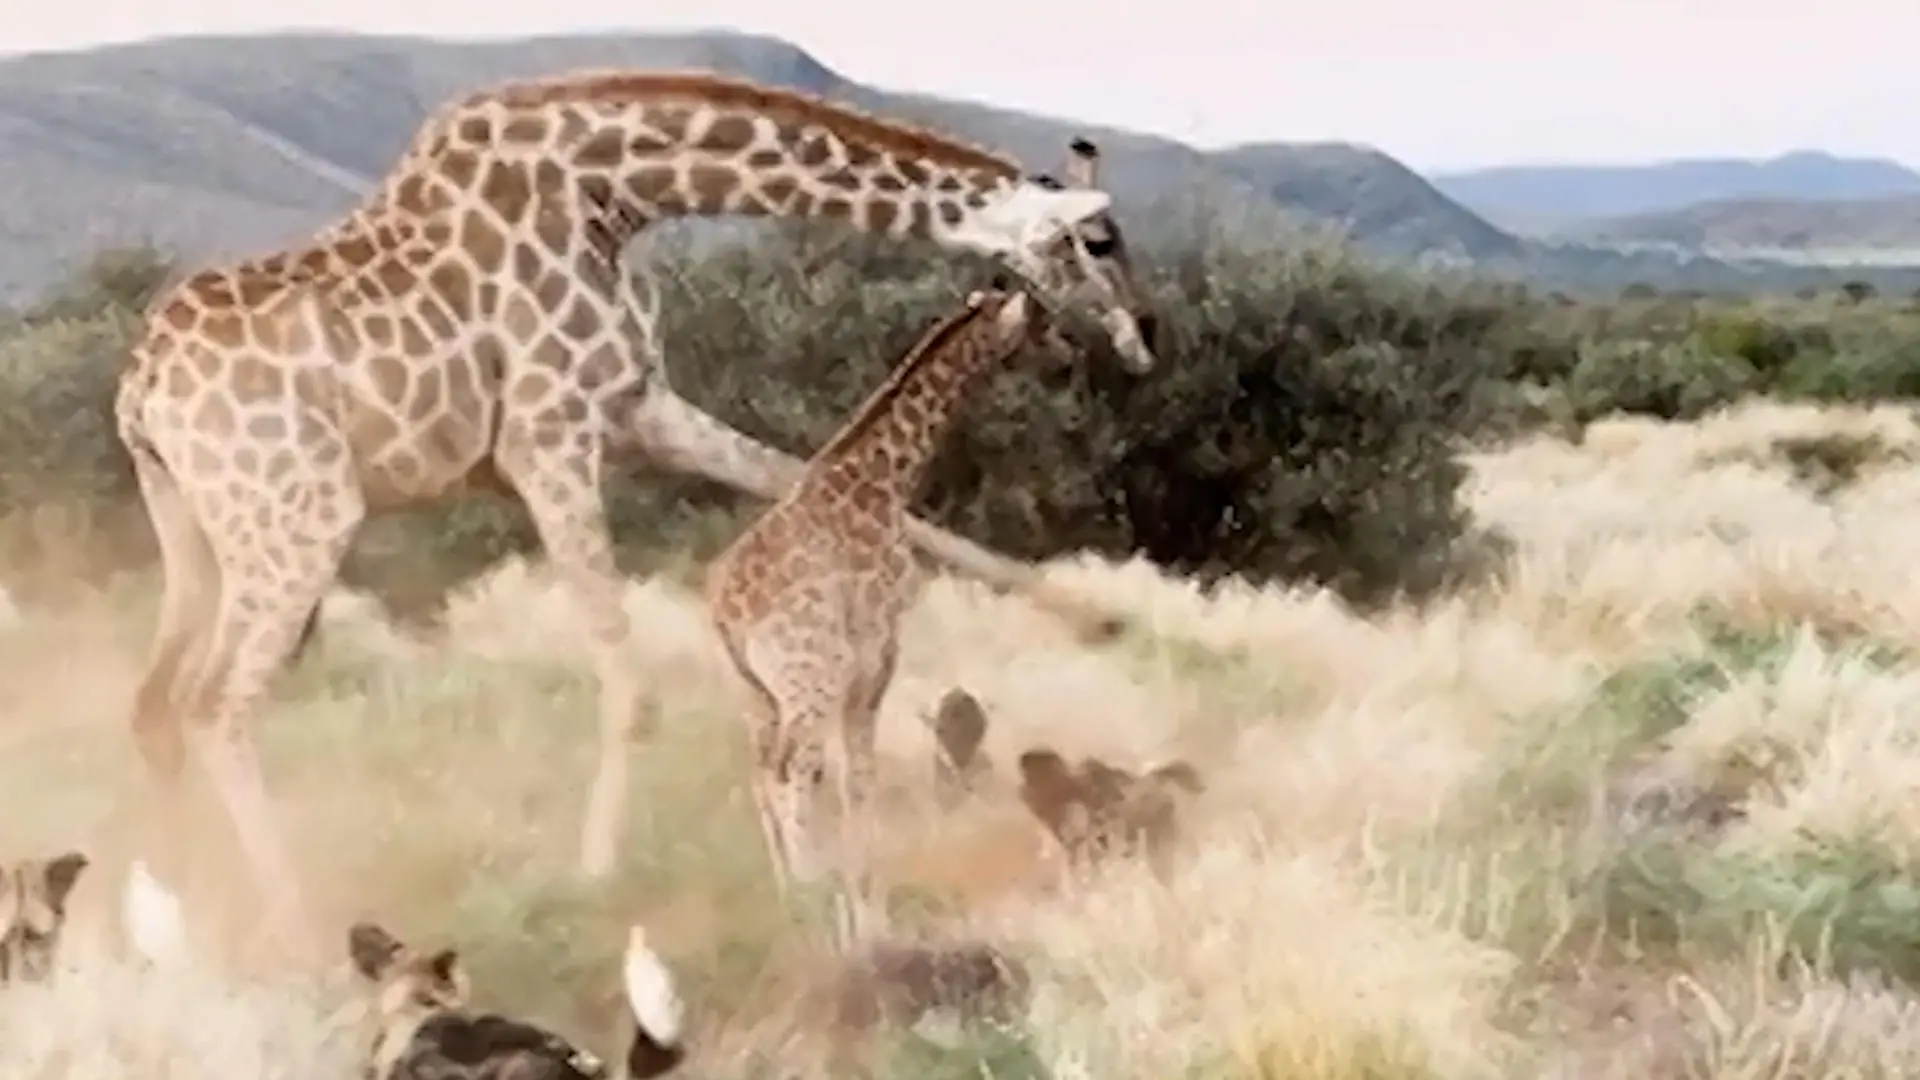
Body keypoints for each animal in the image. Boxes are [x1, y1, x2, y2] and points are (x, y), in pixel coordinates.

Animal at [704, 283, 1086, 951]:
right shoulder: (876, 653)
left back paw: (788, 903)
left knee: (764, 776)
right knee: (793, 773)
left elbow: (852, 779)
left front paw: (856, 909)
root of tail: (726, 608)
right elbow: (861, 778)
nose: (1069, 356)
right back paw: (811, 896)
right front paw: (866, 917)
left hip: (755, 693)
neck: (885, 477)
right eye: (1042, 322)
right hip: (810, 679)